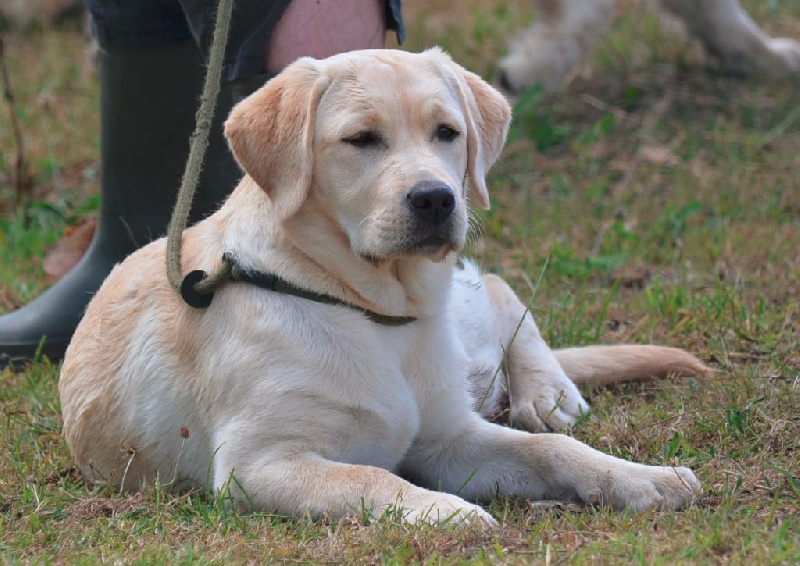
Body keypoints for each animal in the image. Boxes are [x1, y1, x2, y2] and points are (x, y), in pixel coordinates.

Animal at [61, 48, 708, 528]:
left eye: (447, 132)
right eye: (362, 139)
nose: (436, 199)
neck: (370, 307)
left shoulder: (450, 435)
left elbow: (551, 450)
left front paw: (643, 478)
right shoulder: (260, 463)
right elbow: (371, 476)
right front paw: (448, 511)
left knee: (495, 288)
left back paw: (547, 389)